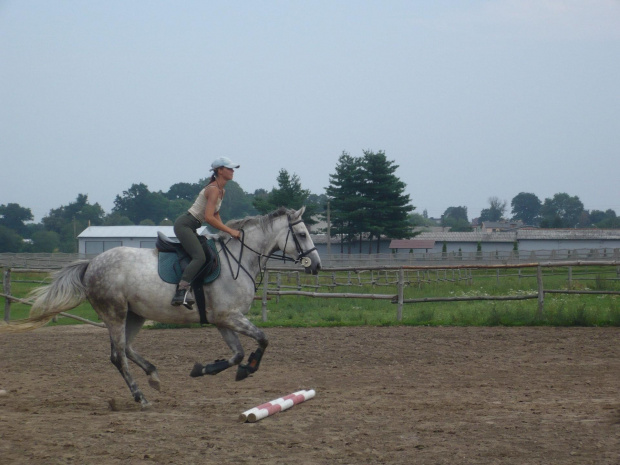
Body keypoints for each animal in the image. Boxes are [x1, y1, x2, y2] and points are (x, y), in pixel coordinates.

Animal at [4, 207, 322, 406]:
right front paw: (248, 369)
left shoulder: (222, 320)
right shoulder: (229, 316)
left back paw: (154, 377)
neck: (239, 258)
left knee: (126, 350)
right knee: (118, 356)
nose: (317, 266)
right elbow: (262, 339)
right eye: (302, 234)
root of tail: (91, 264)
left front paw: (204, 369)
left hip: (134, 315)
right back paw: (141, 397)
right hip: (115, 313)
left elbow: (237, 353)